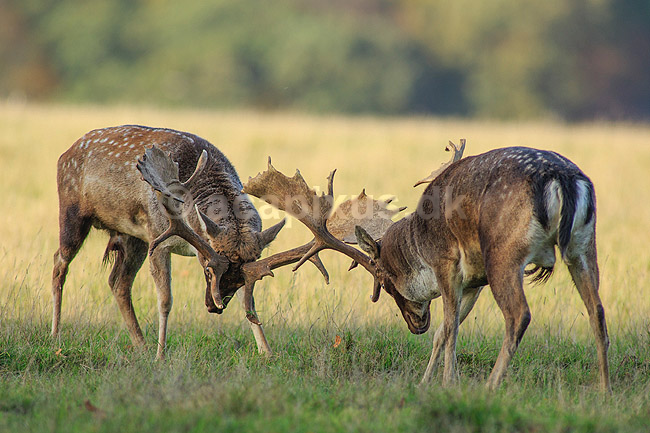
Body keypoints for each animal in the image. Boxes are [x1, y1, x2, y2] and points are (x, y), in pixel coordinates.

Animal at [239, 140, 611, 392]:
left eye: (383, 281)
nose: (415, 325)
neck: (417, 242)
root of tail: (563, 178)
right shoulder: (475, 281)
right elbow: (447, 331)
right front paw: (426, 381)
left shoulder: (447, 263)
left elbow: (449, 329)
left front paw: (447, 383)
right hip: (582, 245)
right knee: (597, 311)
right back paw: (605, 391)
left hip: (505, 253)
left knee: (519, 314)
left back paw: (491, 387)